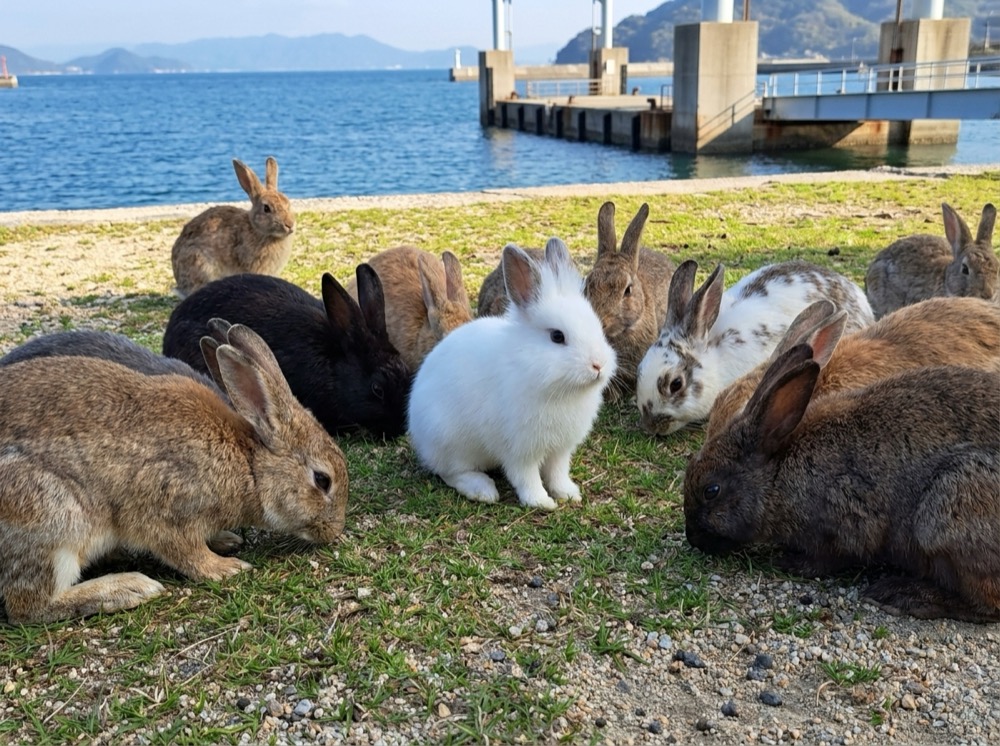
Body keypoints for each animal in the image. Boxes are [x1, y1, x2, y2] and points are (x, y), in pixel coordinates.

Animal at [0, 322, 349, 624]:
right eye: (322, 480)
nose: (333, 532)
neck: (249, 464)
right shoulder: (167, 507)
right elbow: (186, 552)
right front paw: (226, 567)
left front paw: (226, 540)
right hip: (52, 518)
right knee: (29, 607)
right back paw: (129, 588)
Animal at [408, 238, 617, 511]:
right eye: (557, 336)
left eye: (598, 328)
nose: (598, 365)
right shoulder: (520, 449)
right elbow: (526, 477)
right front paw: (541, 502)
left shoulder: (560, 450)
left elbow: (557, 473)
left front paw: (569, 493)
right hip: (450, 442)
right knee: (450, 473)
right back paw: (483, 490)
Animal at [683, 343, 1000, 622]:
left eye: (711, 491)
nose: (693, 539)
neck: (776, 475)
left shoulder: (847, 524)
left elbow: (827, 559)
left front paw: (787, 561)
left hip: (948, 509)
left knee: (987, 603)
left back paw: (904, 596)